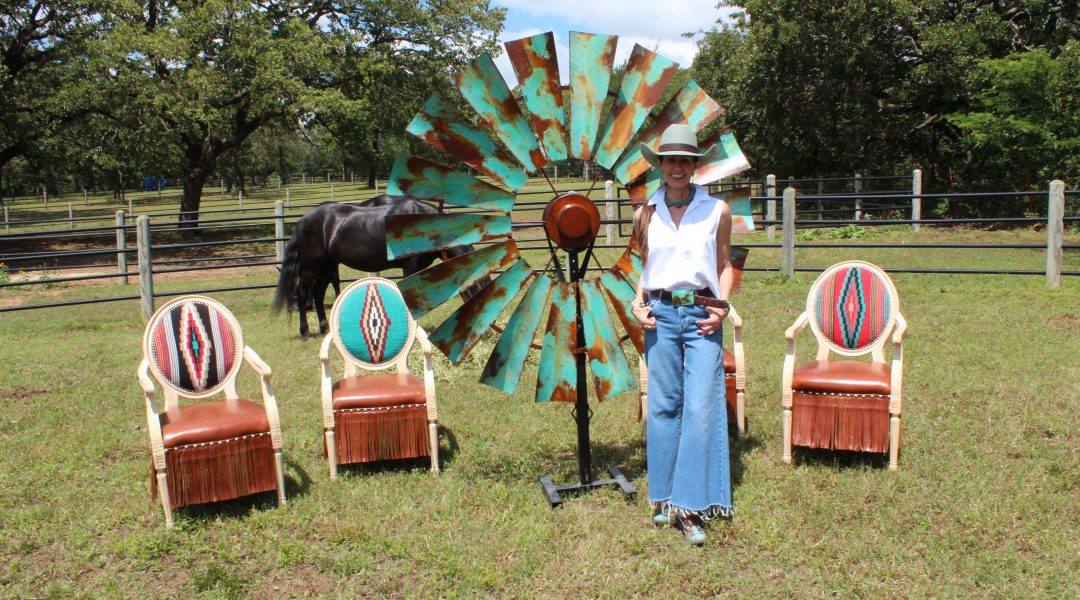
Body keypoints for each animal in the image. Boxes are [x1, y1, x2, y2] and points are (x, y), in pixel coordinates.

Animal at [273, 195, 477, 338]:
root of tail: (302, 221)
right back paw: (305, 332)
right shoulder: (410, 267)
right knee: (303, 292)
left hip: (327, 265)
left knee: (318, 292)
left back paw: (325, 328)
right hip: (311, 266)